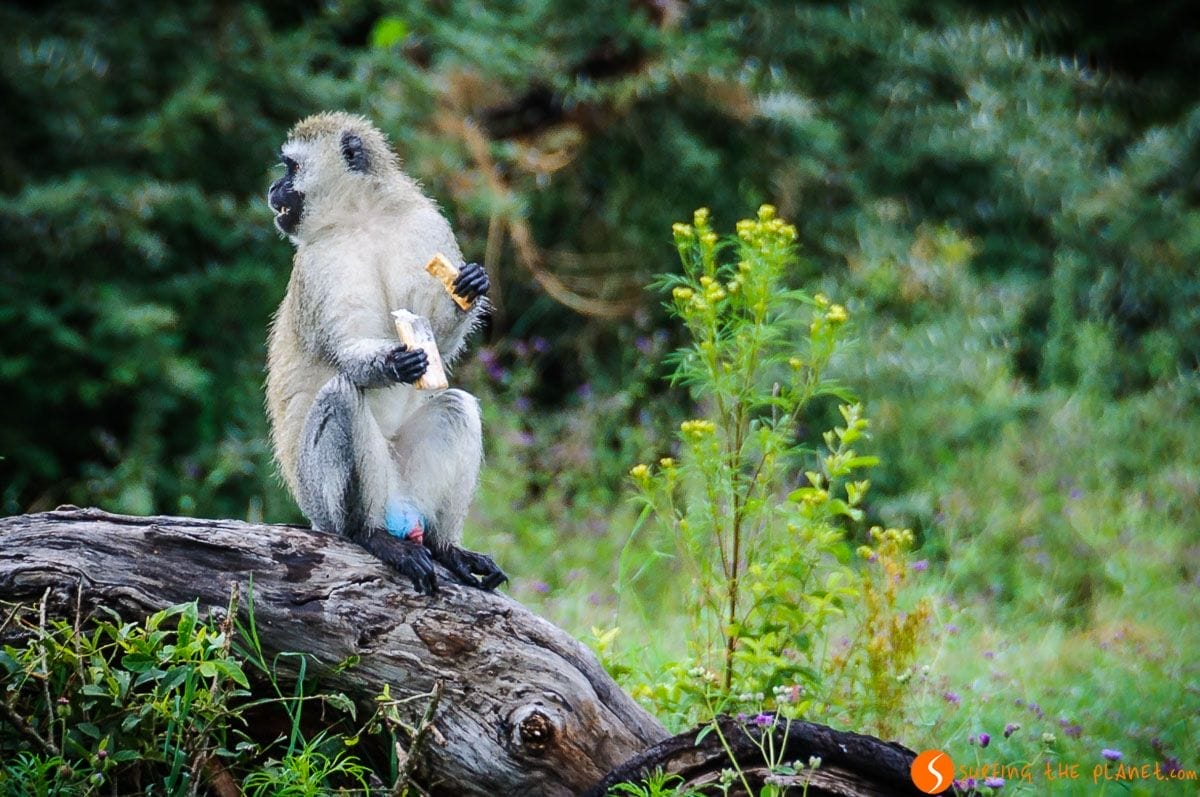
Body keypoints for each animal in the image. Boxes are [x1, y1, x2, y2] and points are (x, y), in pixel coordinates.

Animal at [264, 111, 506, 596]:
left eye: (290, 167)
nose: (273, 188)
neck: (363, 219)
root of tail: (398, 509)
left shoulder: (427, 227)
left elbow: (437, 342)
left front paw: (467, 289)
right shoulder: (318, 265)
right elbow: (347, 349)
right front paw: (394, 362)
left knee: (457, 406)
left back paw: (445, 547)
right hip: (324, 502)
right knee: (341, 395)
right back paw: (369, 536)